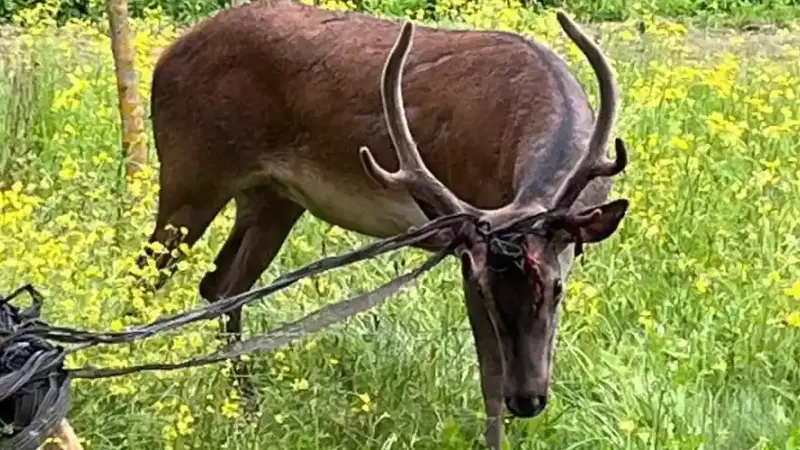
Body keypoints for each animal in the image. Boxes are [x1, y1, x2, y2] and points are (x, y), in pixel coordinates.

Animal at [136, 0, 629, 447]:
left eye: (558, 288)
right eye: (486, 290)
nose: (527, 401)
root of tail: (164, 56)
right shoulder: (466, 250)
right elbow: (489, 374)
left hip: (273, 197)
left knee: (221, 286)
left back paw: (248, 410)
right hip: (191, 171)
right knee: (145, 277)